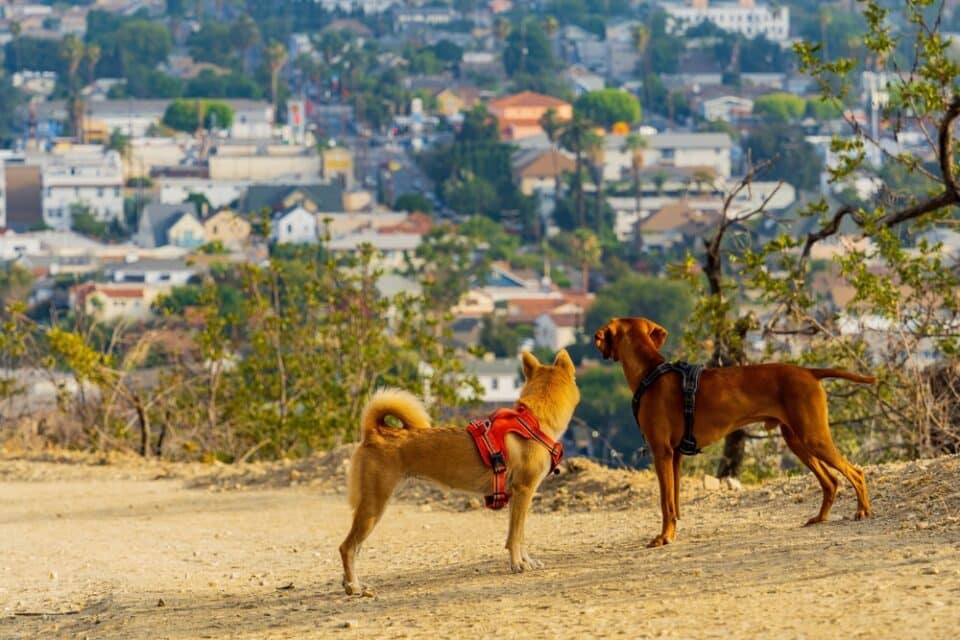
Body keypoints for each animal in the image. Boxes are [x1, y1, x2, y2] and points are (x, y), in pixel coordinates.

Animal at [340, 350, 576, 596]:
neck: (534, 421)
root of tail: (374, 434)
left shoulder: (517, 497)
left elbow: (519, 535)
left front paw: (526, 560)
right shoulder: (524, 491)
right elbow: (516, 537)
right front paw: (518, 564)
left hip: (374, 507)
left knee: (355, 547)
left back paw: (353, 583)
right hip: (374, 505)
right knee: (347, 547)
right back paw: (353, 586)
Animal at [596, 318, 872, 548]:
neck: (650, 373)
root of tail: (809, 372)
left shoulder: (661, 452)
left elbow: (665, 503)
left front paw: (663, 538)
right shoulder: (675, 455)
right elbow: (673, 502)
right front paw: (670, 534)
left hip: (813, 438)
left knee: (855, 472)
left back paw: (862, 511)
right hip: (797, 440)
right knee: (831, 481)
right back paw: (820, 517)